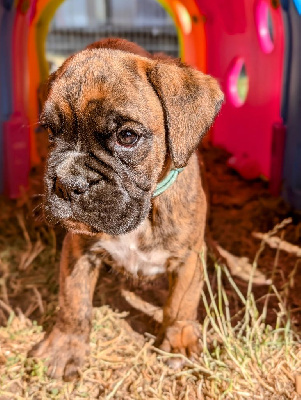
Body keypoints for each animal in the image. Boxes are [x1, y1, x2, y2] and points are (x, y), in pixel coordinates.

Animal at [29, 38, 223, 382]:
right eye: (51, 133)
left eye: (127, 137)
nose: (68, 182)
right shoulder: (78, 250)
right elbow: (74, 301)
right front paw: (64, 346)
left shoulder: (189, 257)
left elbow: (181, 302)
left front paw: (178, 341)